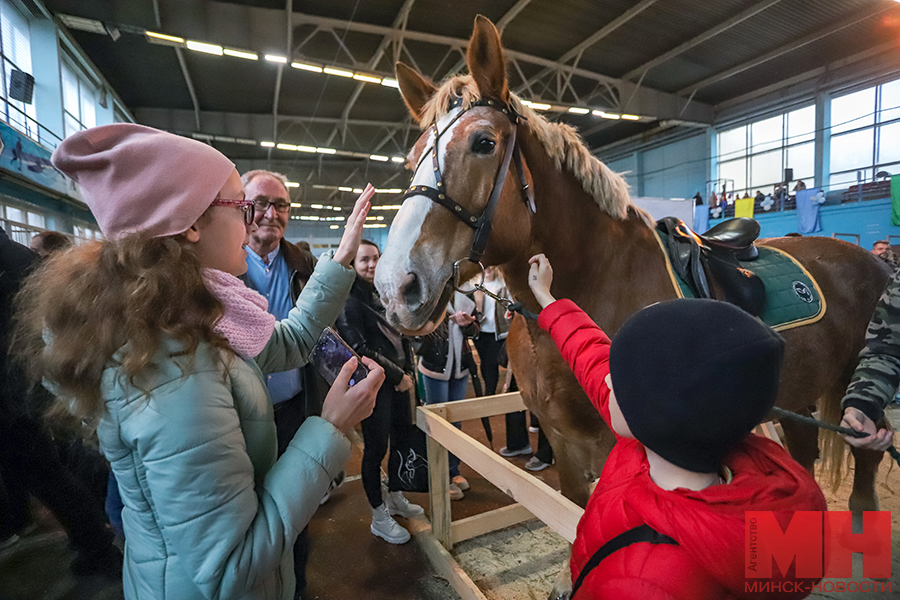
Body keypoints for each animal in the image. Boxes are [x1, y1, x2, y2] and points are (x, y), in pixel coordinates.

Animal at [374, 15, 892, 510]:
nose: (396, 286)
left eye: (483, 142)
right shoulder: (565, 448)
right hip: (801, 398)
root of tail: (874, 264)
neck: (595, 280)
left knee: (864, 492)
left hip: (858, 407)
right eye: (413, 158)